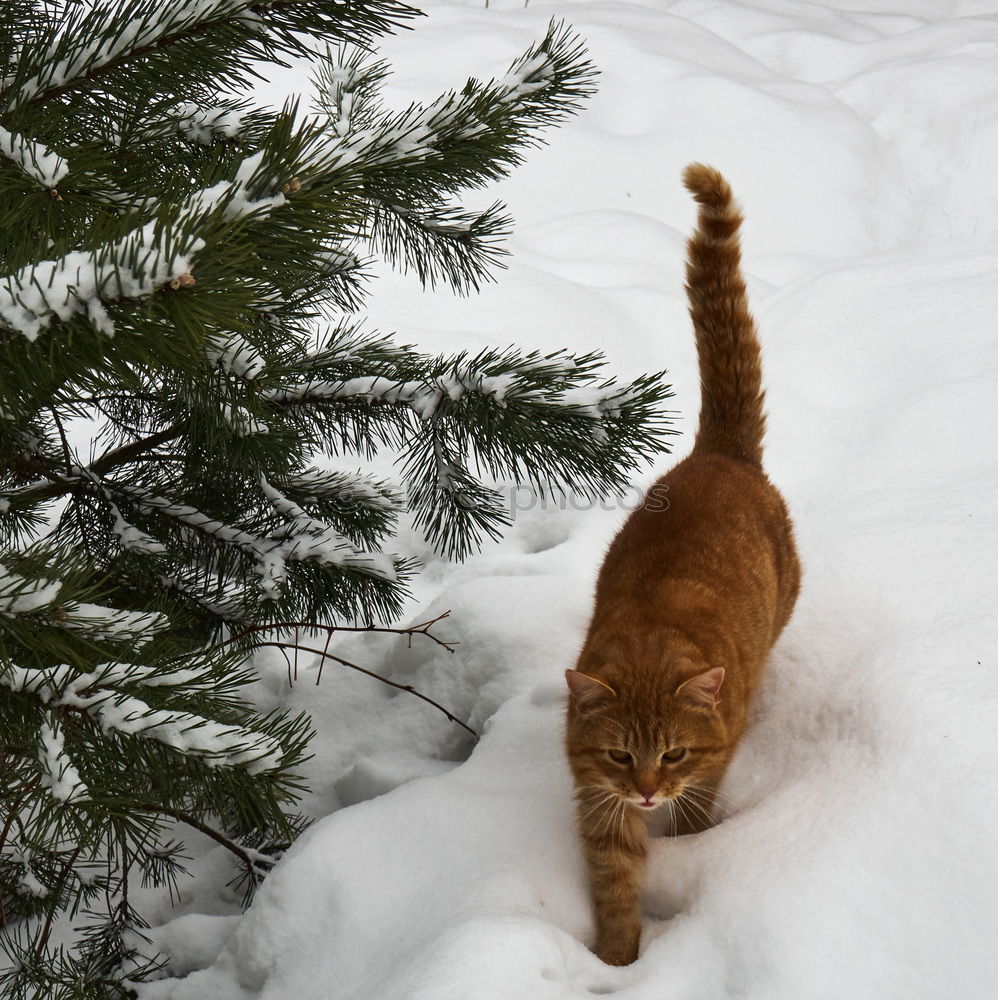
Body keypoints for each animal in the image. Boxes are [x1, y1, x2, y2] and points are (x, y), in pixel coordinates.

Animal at [568, 166, 800, 968]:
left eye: (672, 754)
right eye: (619, 755)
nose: (645, 792)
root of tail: (718, 454)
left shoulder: (709, 766)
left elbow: (698, 815)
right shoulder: (599, 801)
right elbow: (613, 882)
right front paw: (616, 959)